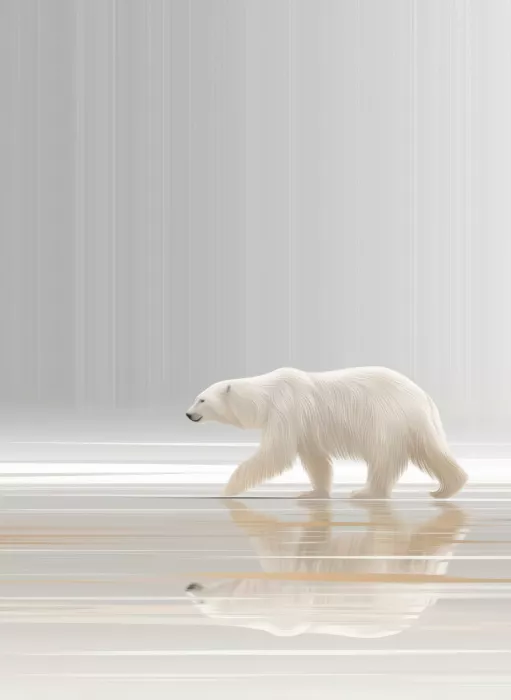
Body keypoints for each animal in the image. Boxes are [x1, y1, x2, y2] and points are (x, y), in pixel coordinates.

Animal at [185, 366, 468, 500]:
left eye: (201, 399)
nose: (188, 414)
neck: (266, 394)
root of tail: (423, 396)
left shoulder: (287, 409)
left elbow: (275, 454)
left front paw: (226, 489)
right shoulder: (305, 427)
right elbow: (315, 458)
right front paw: (314, 493)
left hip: (385, 418)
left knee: (382, 458)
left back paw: (366, 492)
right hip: (417, 423)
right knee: (432, 450)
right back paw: (448, 488)